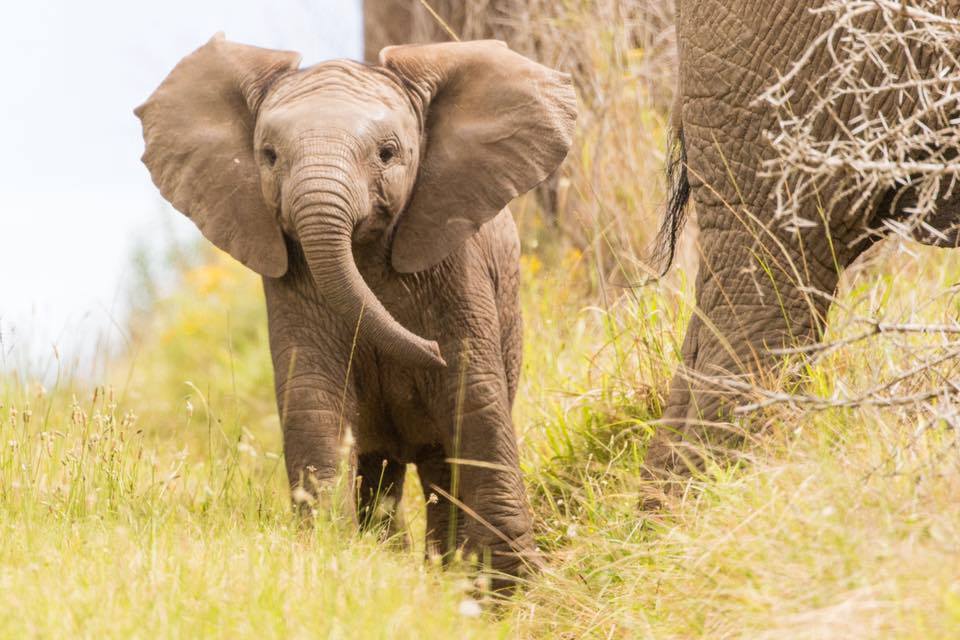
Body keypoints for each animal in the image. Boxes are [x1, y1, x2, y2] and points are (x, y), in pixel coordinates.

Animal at [135, 34, 576, 584]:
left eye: (388, 153)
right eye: (269, 155)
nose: (429, 348)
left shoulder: (459, 265)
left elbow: (473, 395)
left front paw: (513, 586)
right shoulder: (292, 277)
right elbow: (313, 401)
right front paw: (331, 557)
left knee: (438, 465)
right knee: (381, 469)